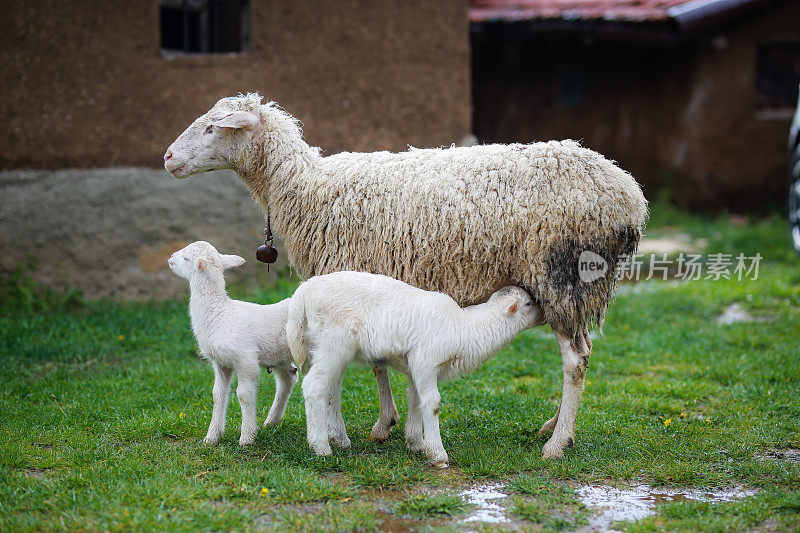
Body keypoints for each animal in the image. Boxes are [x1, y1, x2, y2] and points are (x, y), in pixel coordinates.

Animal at [167, 241, 298, 444]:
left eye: (186, 258)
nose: (171, 257)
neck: (219, 312)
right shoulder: (221, 362)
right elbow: (217, 394)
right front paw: (212, 436)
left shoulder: (246, 359)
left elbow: (243, 395)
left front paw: (247, 437)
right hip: (280, 354)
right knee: (287, 379)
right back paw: (272, 421)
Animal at [288, 272, 544, 468]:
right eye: (528, 304)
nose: (545, 314)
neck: (465, 328)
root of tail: (303, 292)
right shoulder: (425, 360)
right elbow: (432, 403)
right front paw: (438, 454)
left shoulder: (415, 366)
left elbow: (415, 399)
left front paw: (416, 442)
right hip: (334, 344)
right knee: (313, 387)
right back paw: (321, 446)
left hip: (319, 347)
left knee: (330, 390)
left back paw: (340, 440)